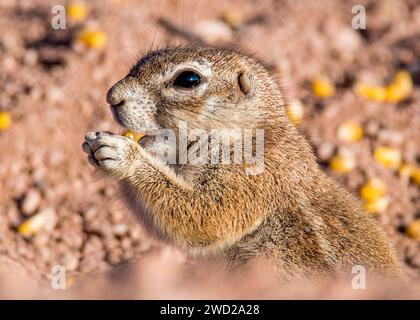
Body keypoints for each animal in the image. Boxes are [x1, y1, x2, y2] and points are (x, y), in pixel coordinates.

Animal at [81, 46, 400, 278]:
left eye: (188, 79)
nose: (112, 96)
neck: (247, 132)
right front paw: (93, 144)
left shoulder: (252, 177)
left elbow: (203, 218)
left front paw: (123, 155)